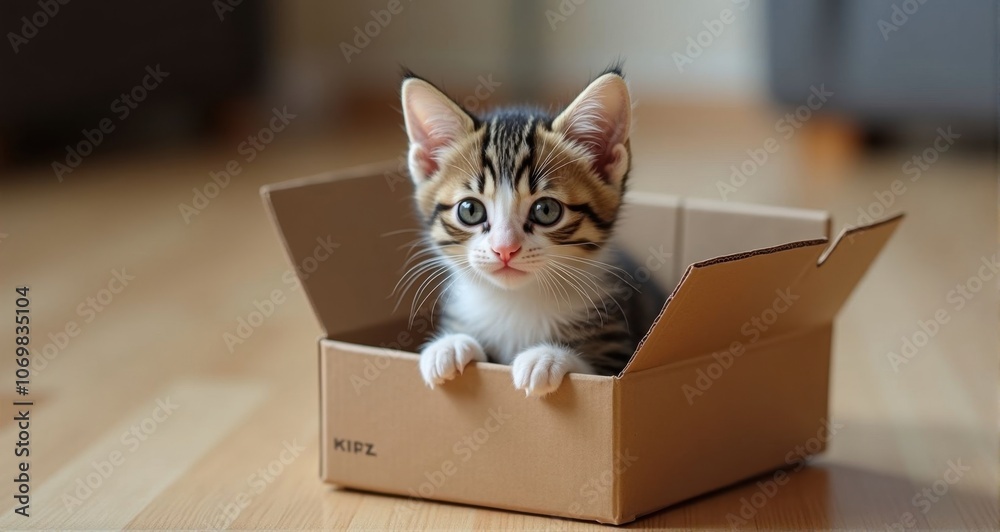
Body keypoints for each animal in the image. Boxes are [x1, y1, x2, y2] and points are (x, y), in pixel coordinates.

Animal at [398, 67, 664, 400]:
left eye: (546, 210)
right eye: (470, 210)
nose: (504, 248)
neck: (516, 301)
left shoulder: (617, 350)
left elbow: (598, 376)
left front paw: (546, 357)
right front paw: (449, 345)